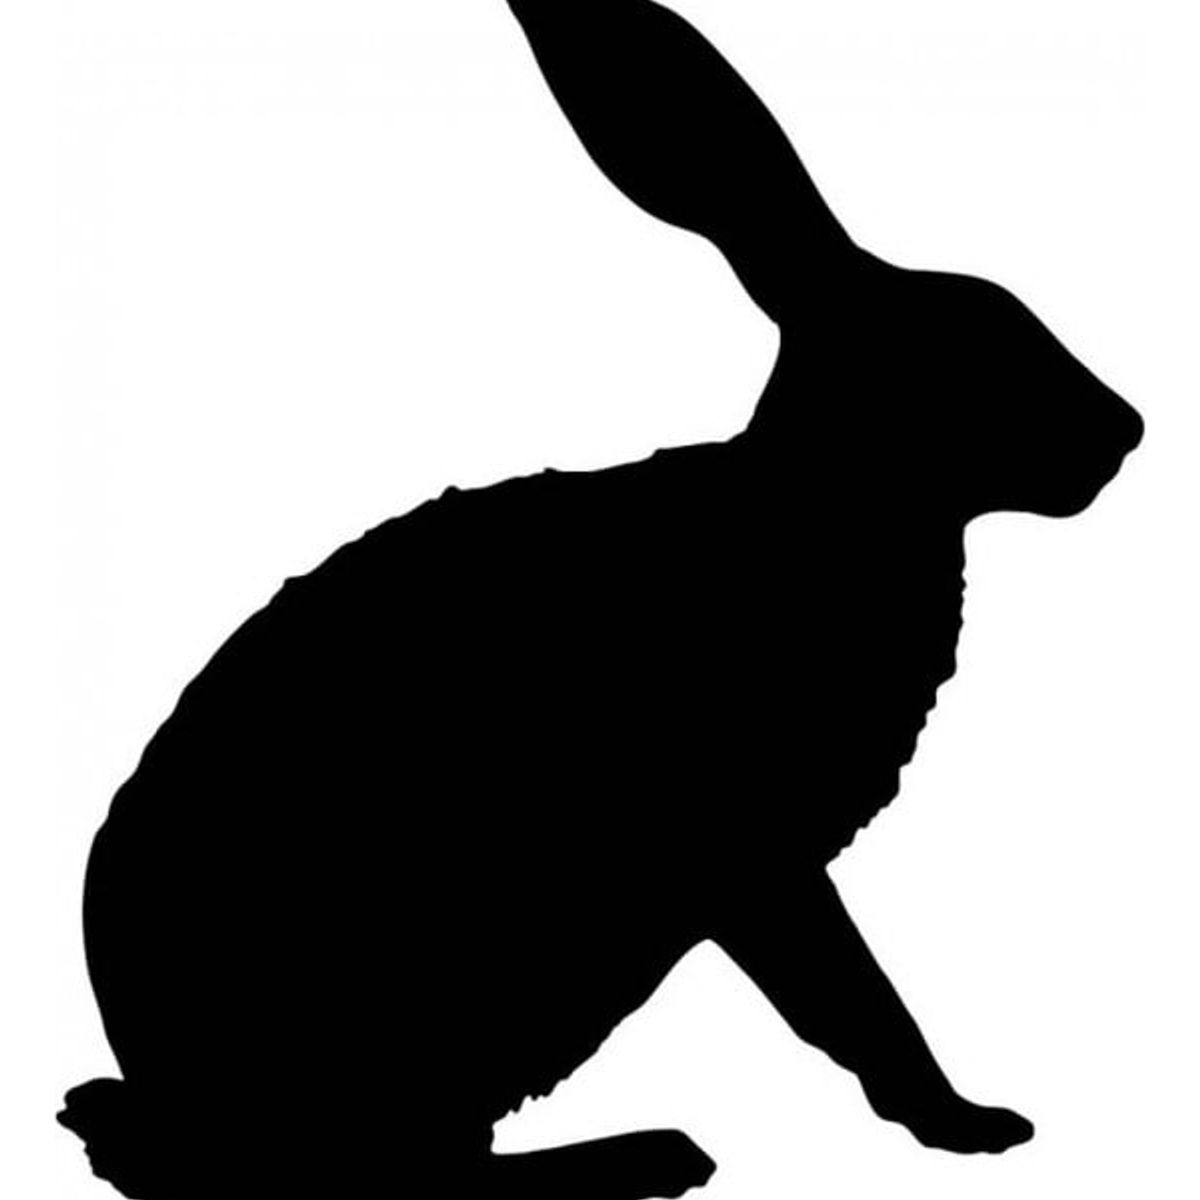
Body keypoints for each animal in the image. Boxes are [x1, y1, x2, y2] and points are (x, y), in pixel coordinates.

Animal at [59, 2, 1143, 1198]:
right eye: (974, 348)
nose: (1126, 432)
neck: (822, 497)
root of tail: (175, 1112)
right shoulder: (756, 856)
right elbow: (849, 996)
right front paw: (972, 1127)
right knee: (416, 1163)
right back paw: (658, 1153)